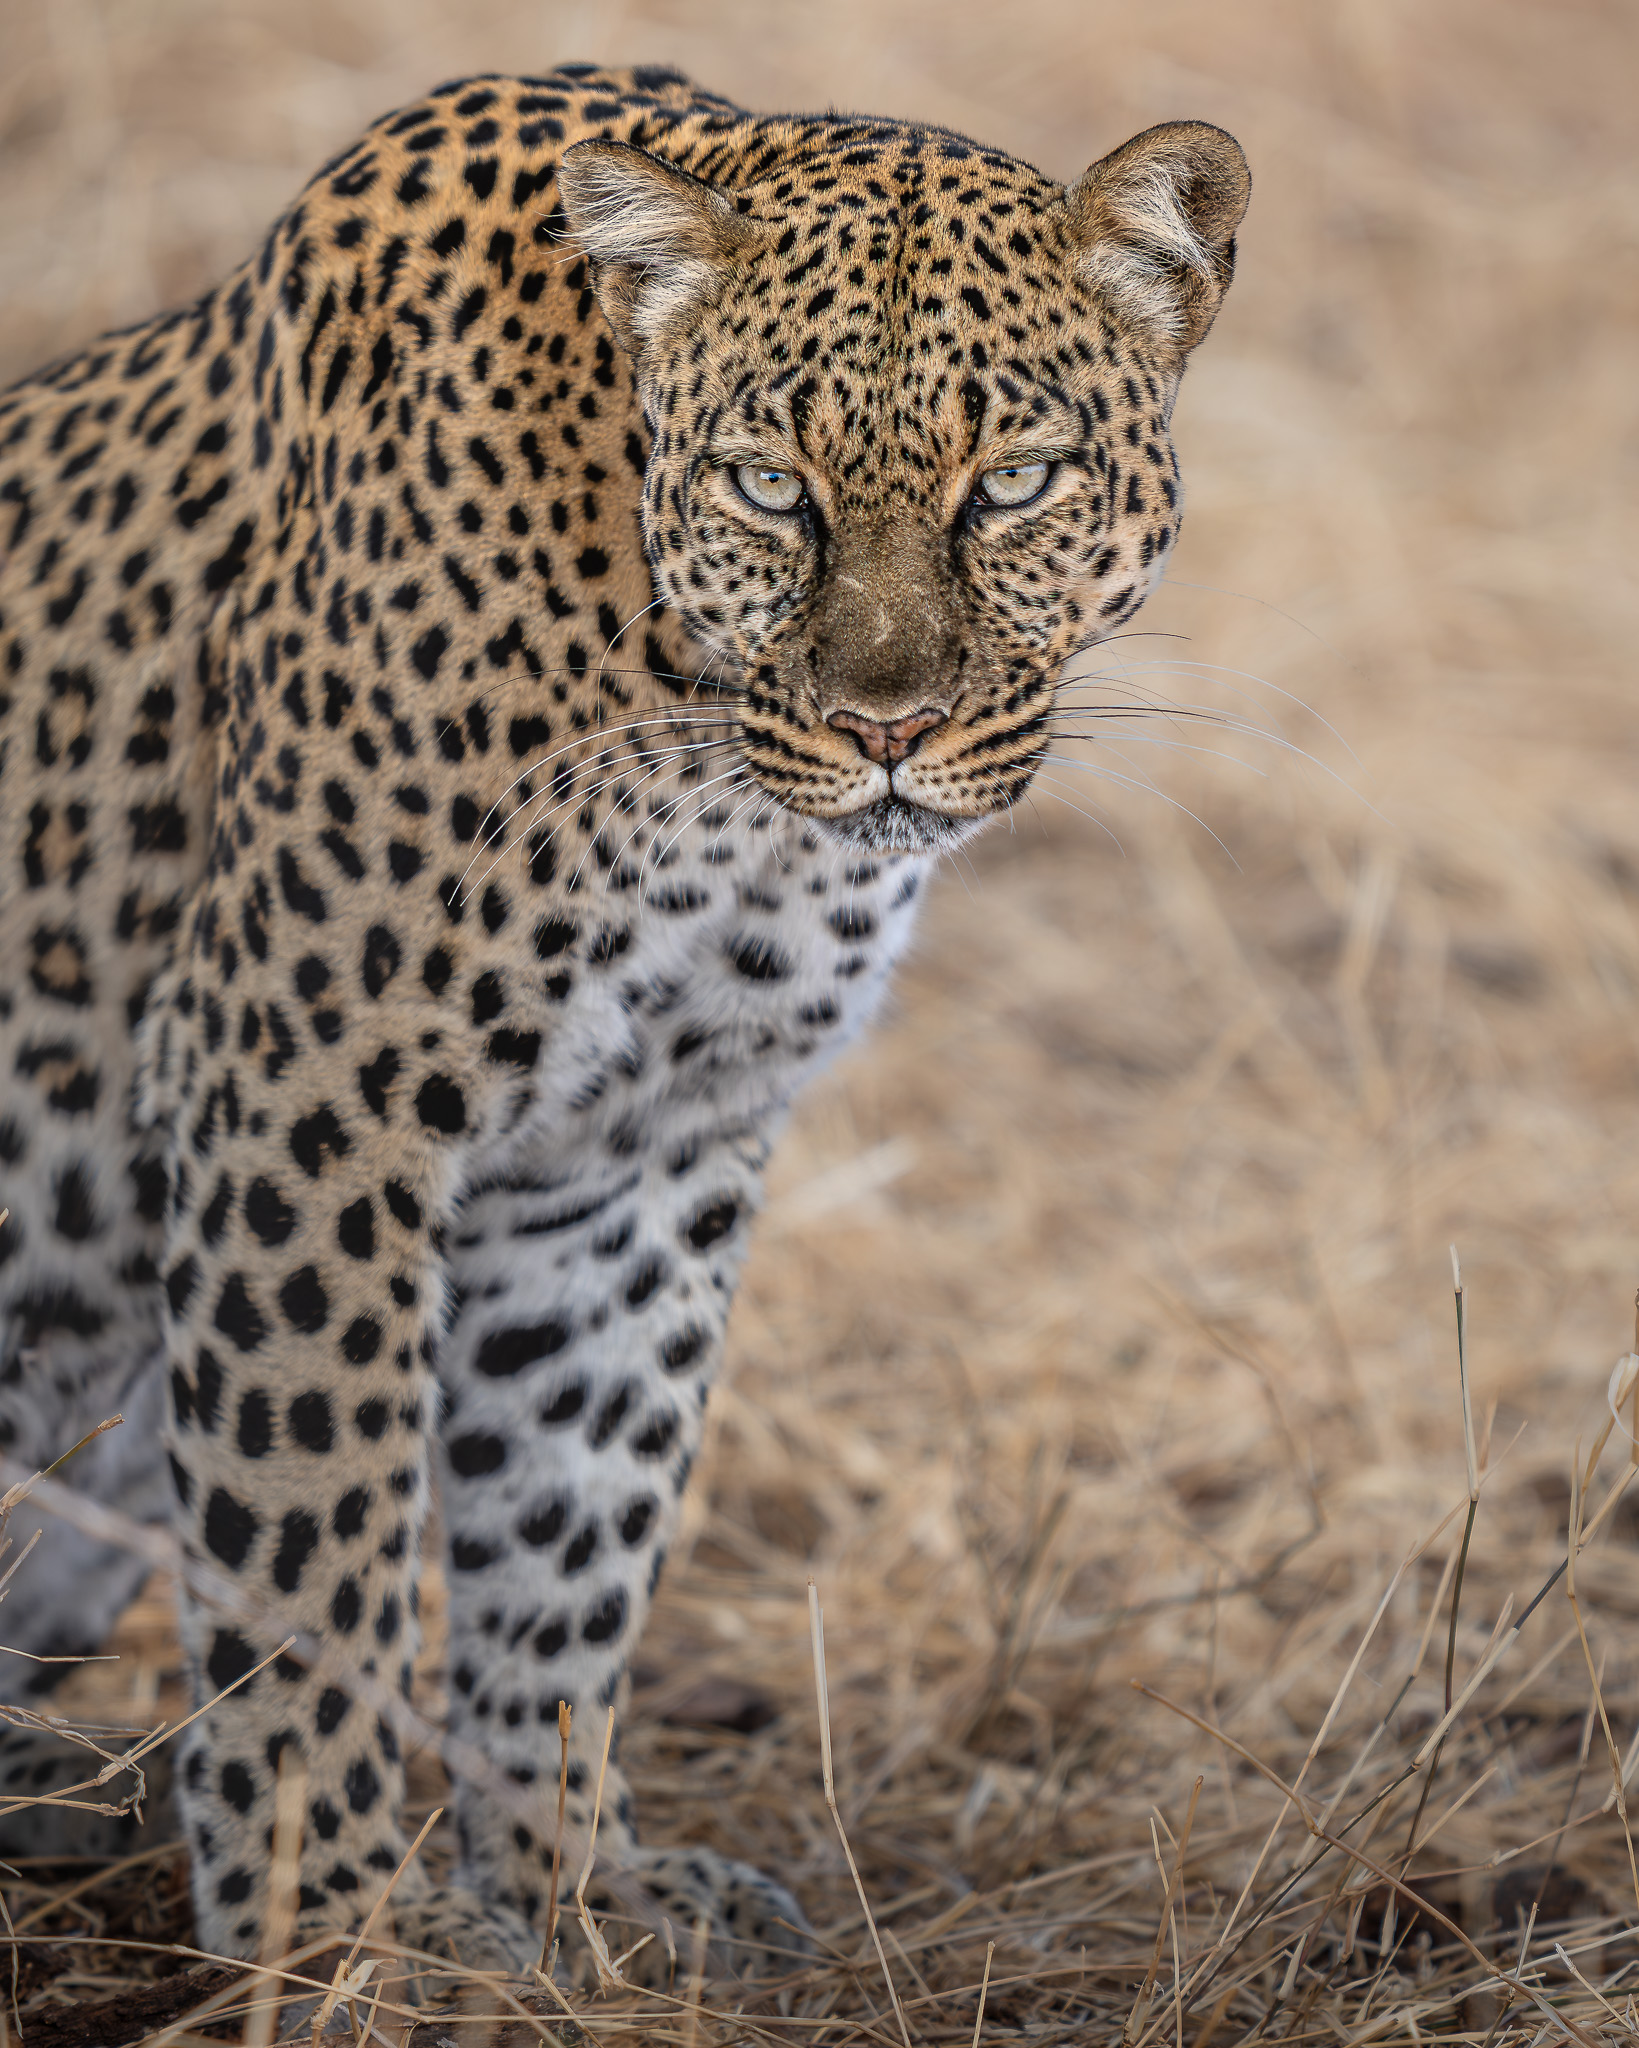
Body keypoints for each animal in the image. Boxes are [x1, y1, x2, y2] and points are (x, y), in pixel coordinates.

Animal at [0, 63, 1247, 1988]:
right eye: (769, 487)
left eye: (1014, 484)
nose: (885, 729)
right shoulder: (308, 1085)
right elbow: (314, 1556)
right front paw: (341, 1941)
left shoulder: (634, 1155)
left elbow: (571, 1531)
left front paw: (577, 1897)